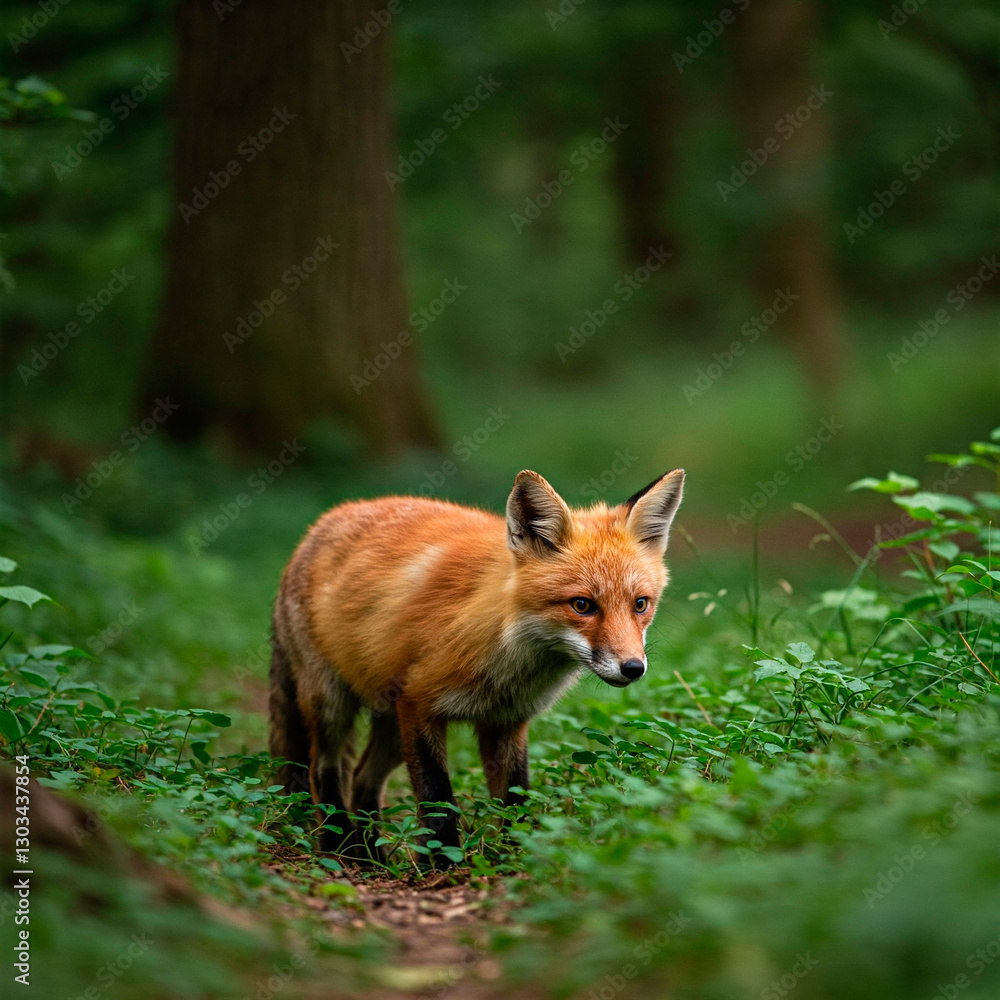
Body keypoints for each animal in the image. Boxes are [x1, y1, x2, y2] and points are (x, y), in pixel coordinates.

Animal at [269, 467, 684, 865]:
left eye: (641, 604)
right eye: (582, 605)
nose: (633, 668)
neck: (506, 656)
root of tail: (323, 521)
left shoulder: (507, 722)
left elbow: (517, 799)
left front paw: (514, 860)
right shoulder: (418, 706)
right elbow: (438, 801)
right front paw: (443, 868)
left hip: (389, 725)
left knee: (361, 779)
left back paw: (370, 858)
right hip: (332, 704)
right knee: (325, 771)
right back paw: (338, 851)